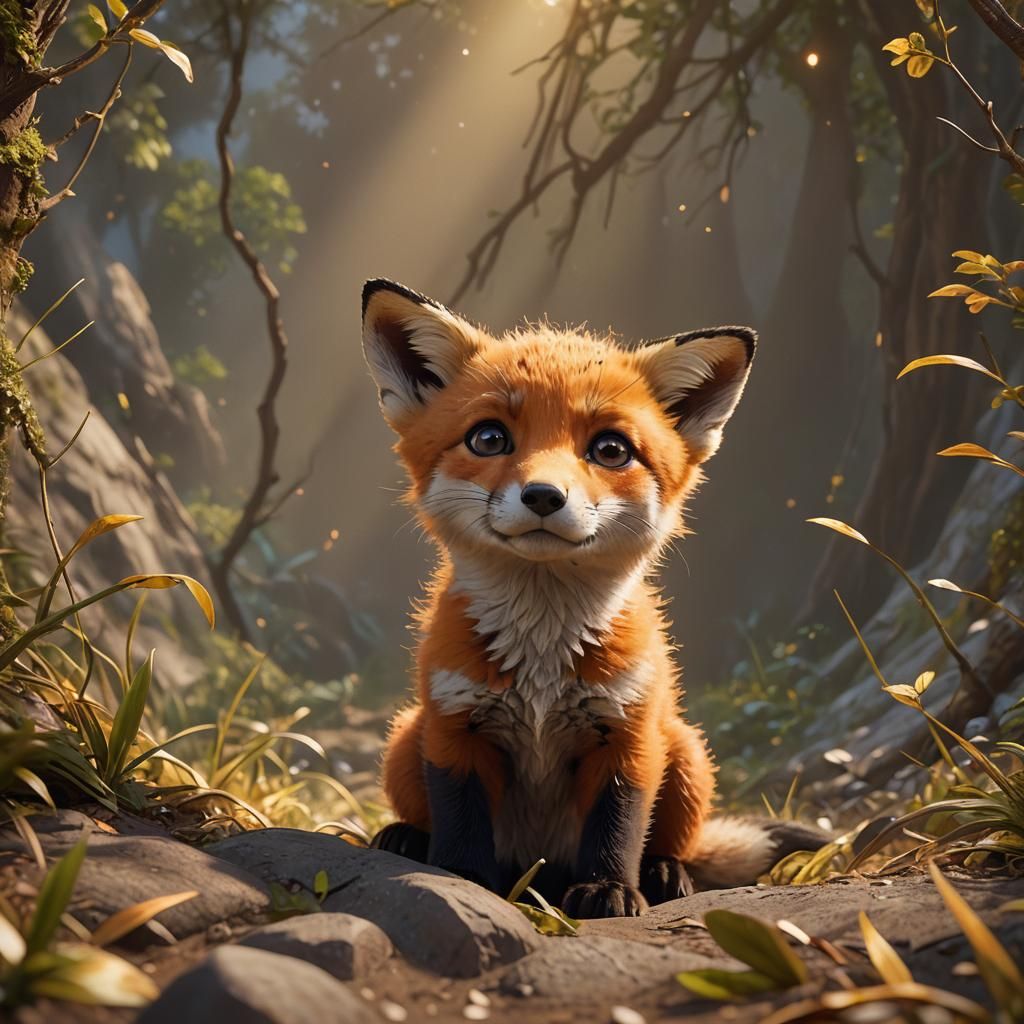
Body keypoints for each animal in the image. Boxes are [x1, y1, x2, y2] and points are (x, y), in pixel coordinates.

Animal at [361, 278, 824, 919]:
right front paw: (457, 877)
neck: (541, 664)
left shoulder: (627, 735)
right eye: (489, 438)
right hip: (408, 736)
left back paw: (664, 873)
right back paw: (406, 838)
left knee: (679, 845)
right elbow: (460, 822)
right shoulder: (455, 727)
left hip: (684, 750)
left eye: (610, 450)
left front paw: (609, 888)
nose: (543, 495)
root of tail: (535, 870)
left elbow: (617, 827)